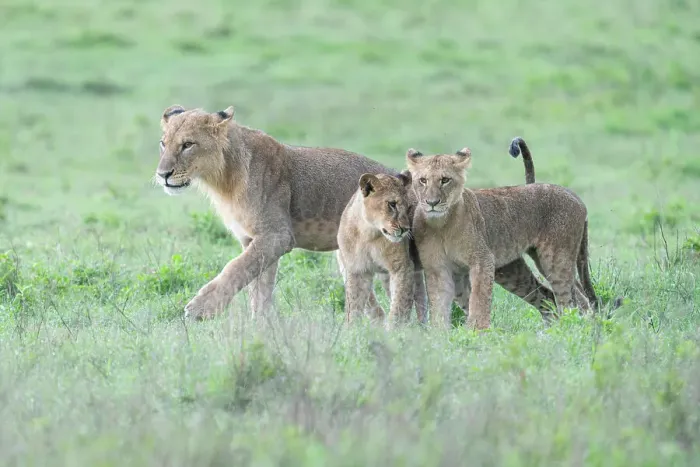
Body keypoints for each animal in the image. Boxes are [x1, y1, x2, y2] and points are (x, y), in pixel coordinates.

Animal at [154, 104, 403, 319]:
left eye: (188, 144)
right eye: (163, 143)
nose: (162, 174)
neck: (224, 179)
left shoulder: (277, 235)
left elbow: (236, 268)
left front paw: (200, 308)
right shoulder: (252, 239)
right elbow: (258, 286)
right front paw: (260, 326)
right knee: (376, 309)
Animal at [406, 145, 601, 330]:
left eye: (445, 180)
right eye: (423, 180)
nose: (432, 203)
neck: (441, 225)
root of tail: (574, 195)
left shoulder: (482, 260)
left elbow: (479, 299)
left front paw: (477, 332)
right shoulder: (437, 268)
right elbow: (439, 304)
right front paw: (439, 334)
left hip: (555, 259)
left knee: (571, 300)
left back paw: (572, 328)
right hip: (518, 271)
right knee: (551, 295)